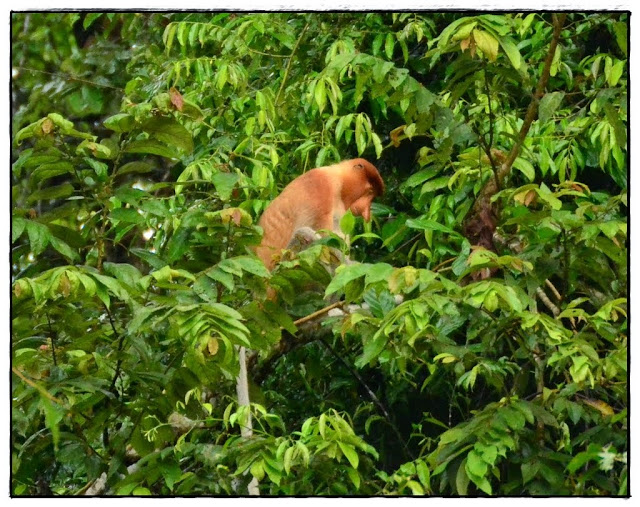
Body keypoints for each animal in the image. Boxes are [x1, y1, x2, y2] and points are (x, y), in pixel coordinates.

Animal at [255, 158, 384, 270]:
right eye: (370, 191)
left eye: (372, 195)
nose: (366, 211)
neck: (338, 180)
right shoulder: (321, 188)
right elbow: (324, 238)